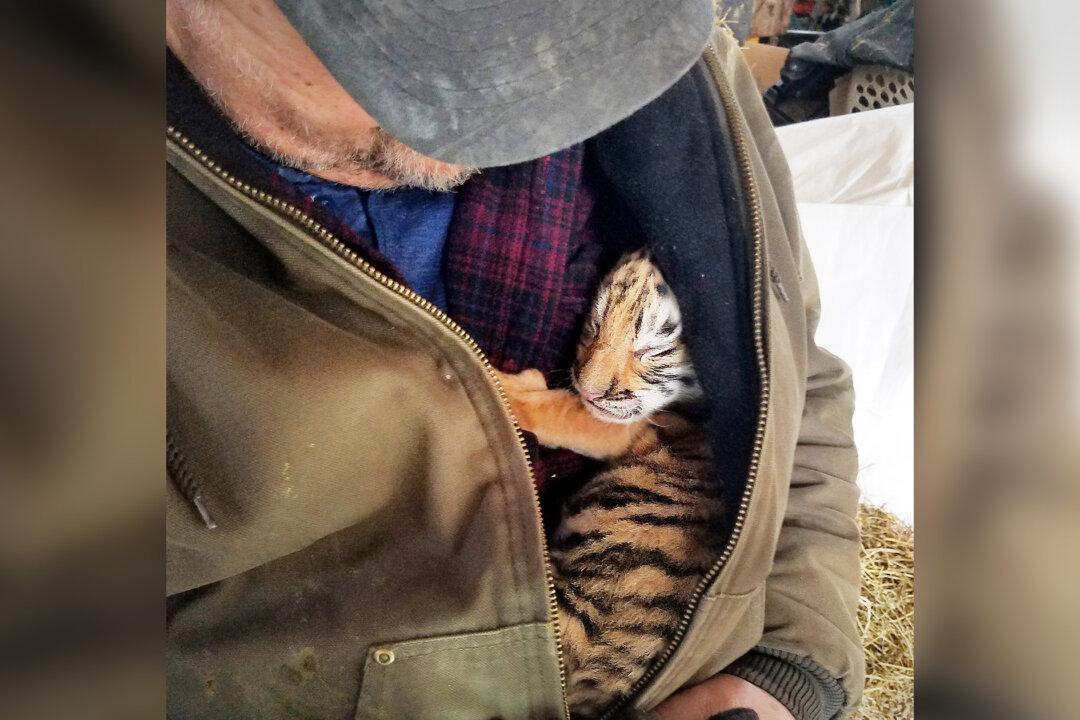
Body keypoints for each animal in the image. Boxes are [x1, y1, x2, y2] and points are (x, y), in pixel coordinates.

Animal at [496, 249, 725, 719]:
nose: (588, 389)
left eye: (655, 348)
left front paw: (509, 383)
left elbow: (560, 411)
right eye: (595, 323)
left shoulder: (620, 425)